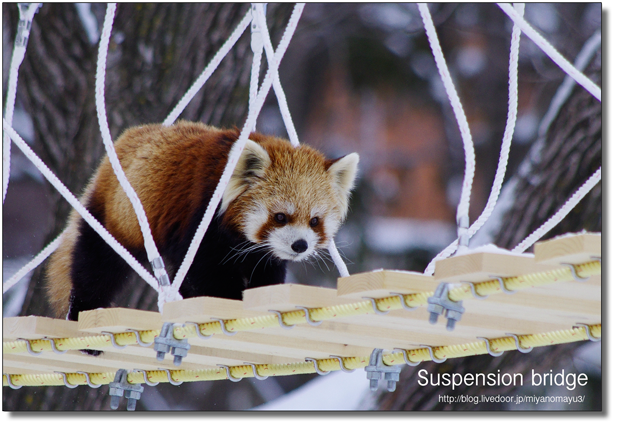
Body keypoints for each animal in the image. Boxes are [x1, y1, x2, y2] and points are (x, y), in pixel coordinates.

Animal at [46, 120, 358, 320]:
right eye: (280, 216)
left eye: (315, 221)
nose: (300, 245)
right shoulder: (200, 217)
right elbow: (204, 272)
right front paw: (228, 297)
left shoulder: (261, 252)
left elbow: (265, 270)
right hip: (117, 214)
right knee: (97, 264)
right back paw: (83, 310)